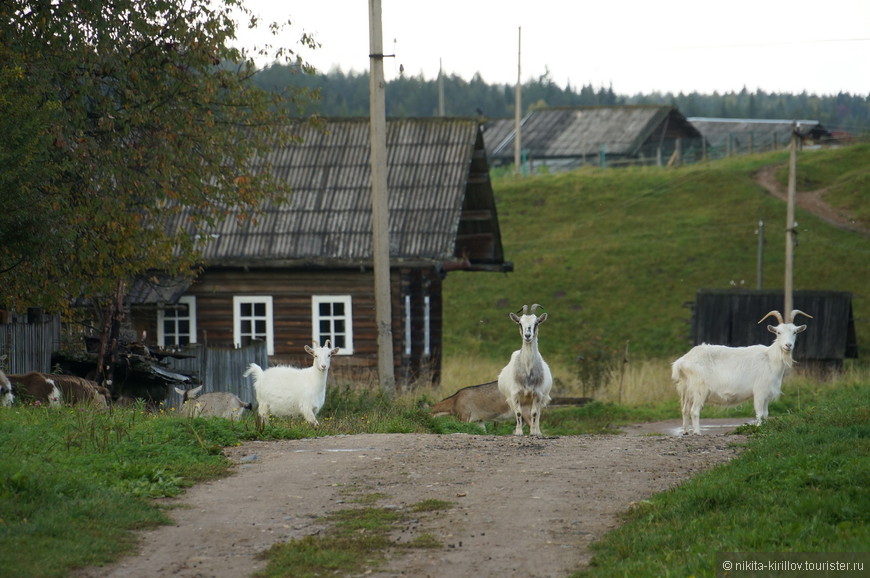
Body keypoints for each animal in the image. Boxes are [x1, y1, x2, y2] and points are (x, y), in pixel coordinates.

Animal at [498, 304, 552, 434]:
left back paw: (537, 431)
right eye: (520, 323)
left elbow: (534, 414)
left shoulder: (538, 394)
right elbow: (518, 413)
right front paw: (518, 433)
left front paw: (533, 433)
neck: (527, 372)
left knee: (538, 414)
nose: (527, 336)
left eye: (536, 323)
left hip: (540, 399)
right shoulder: (515, 394)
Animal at [672, 310, 816, 432]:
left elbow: (766, 414)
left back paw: (685, 432)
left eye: (795, 332)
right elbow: (760, 414)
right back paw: (697, 432)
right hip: (699, 390)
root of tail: (682, 361)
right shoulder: (760, 391)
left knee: (685, 410)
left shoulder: (766, 394)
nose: (788, 345)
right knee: (694, 411)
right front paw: (758, 429)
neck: (770, 358)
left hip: (686, 390)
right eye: (778, 332)